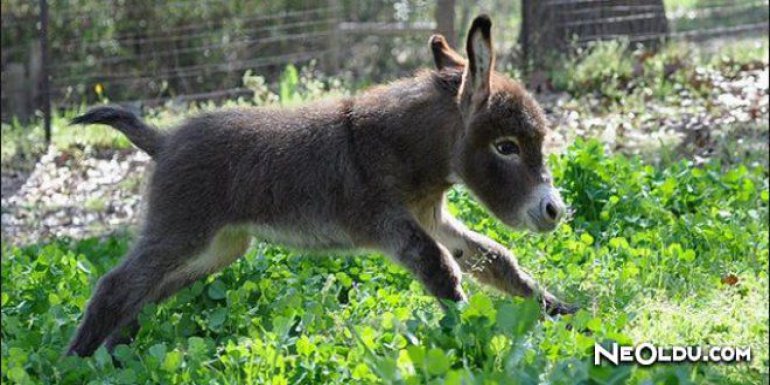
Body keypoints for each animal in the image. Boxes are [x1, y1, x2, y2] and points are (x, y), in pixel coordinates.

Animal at [69, 15, 576, 356]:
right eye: (507, 147)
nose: (554, 211)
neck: (404, 150)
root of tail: (164, 139)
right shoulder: (393, 225)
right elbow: (442, 272)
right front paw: (475, 337)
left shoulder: (432, 216)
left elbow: (496, 259)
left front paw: (564, 313)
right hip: (181, 232)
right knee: (115, 286)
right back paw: (73, 364)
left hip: (218, 248)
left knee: (146, 292)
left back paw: (115, 356)